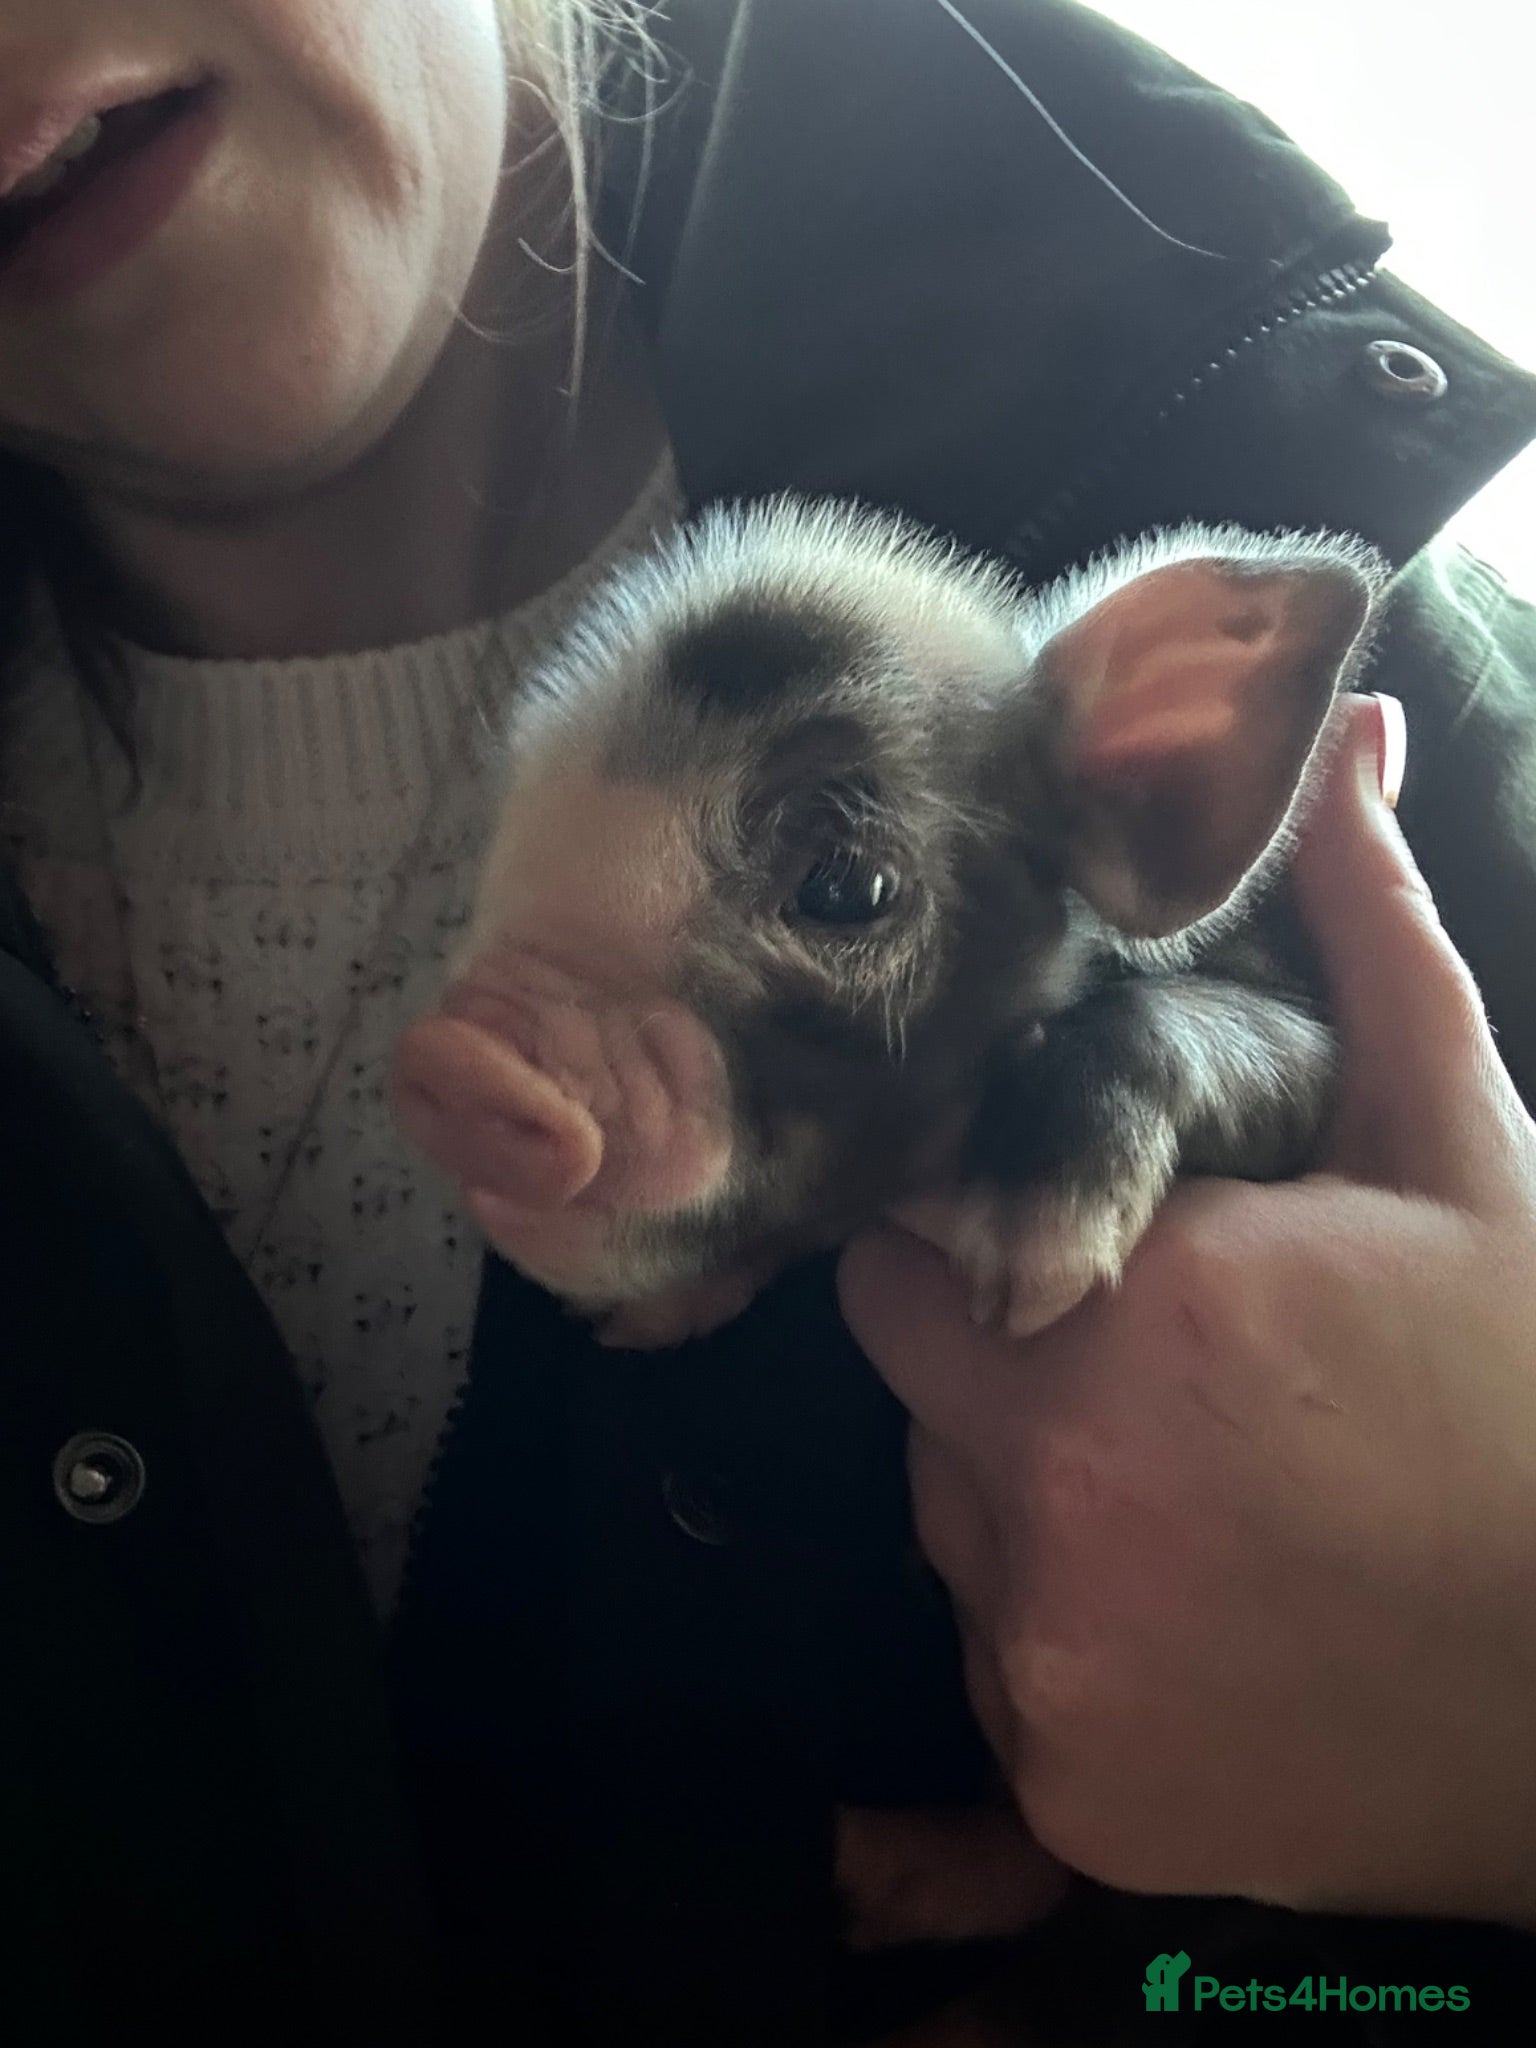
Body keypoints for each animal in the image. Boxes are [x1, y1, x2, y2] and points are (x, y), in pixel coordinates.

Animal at [391, 499, 1385, 1350]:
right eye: (507, 825)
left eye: (847, 886)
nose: (454, 1057)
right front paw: (632, 1327)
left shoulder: (1309, 1047)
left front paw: (1028, 1279)